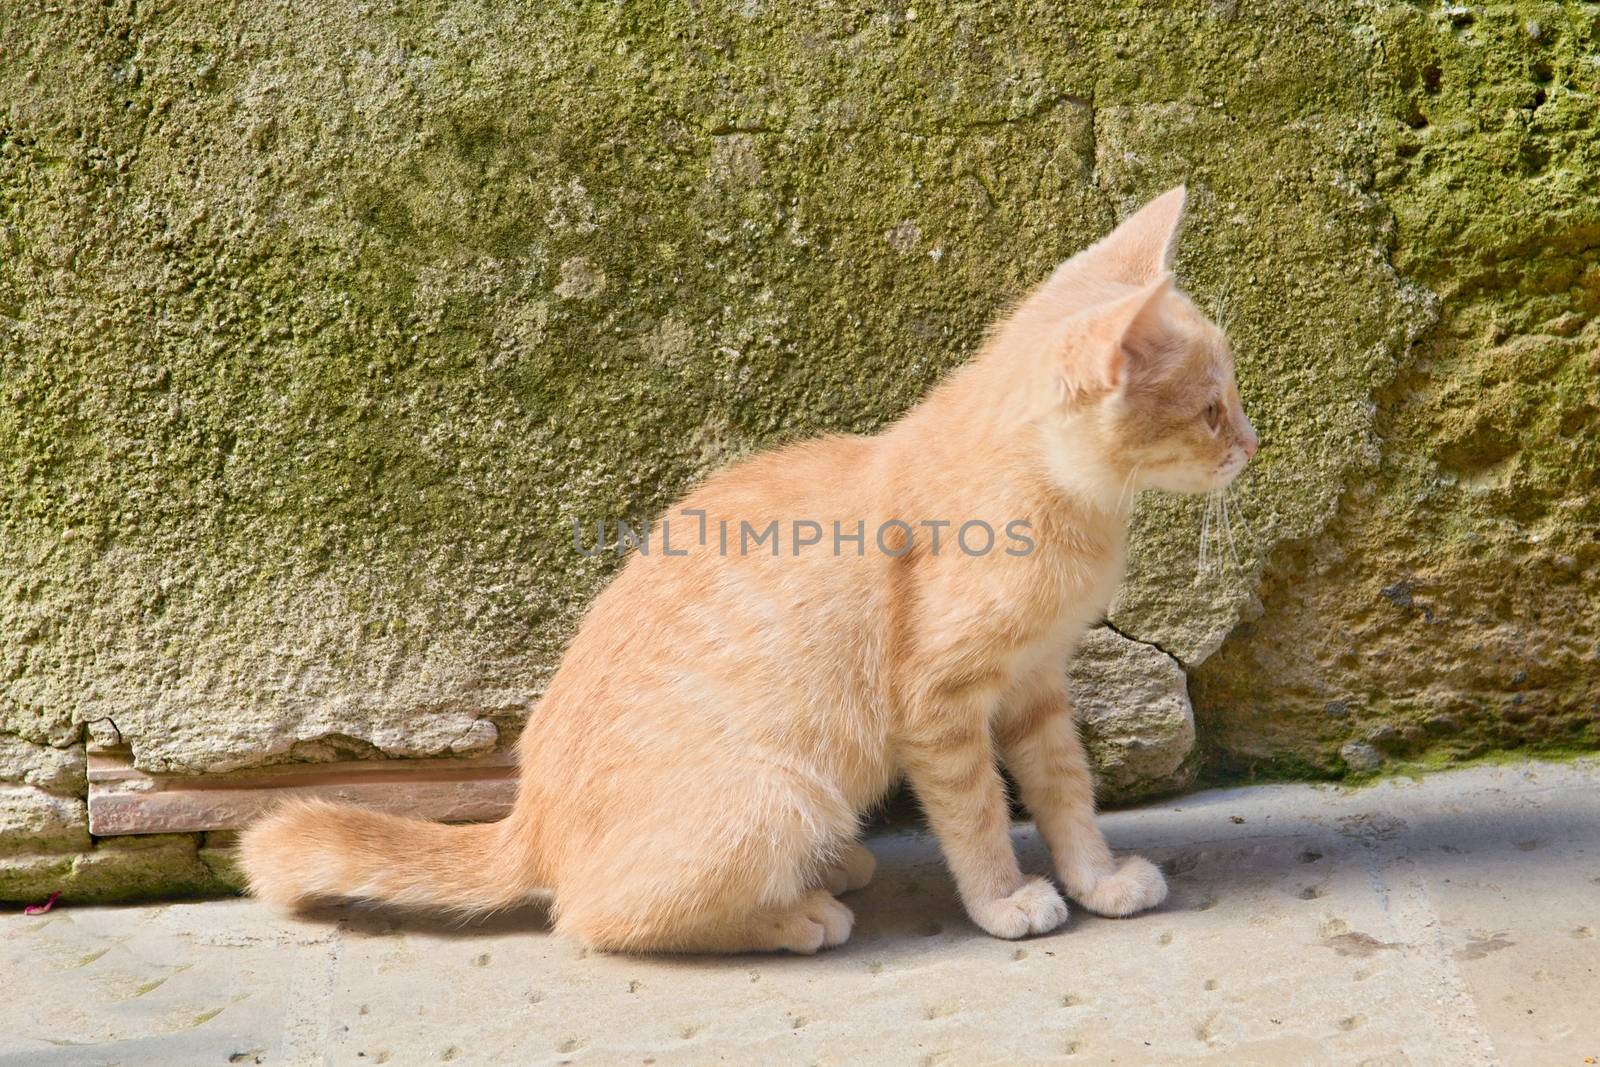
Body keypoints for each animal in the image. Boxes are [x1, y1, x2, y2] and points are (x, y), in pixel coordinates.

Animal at [240, 187, 1260, 953]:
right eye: (1211, 408)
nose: (1253, 444)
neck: (1054, 496)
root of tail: (531, 822)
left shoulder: (1038, 683)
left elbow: (1063, 791)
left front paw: (1096, 877)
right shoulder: (939, 704)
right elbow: (975, 813)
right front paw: (1005, 898)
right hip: (781, 791)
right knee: (592, 917)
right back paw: (795, 912)